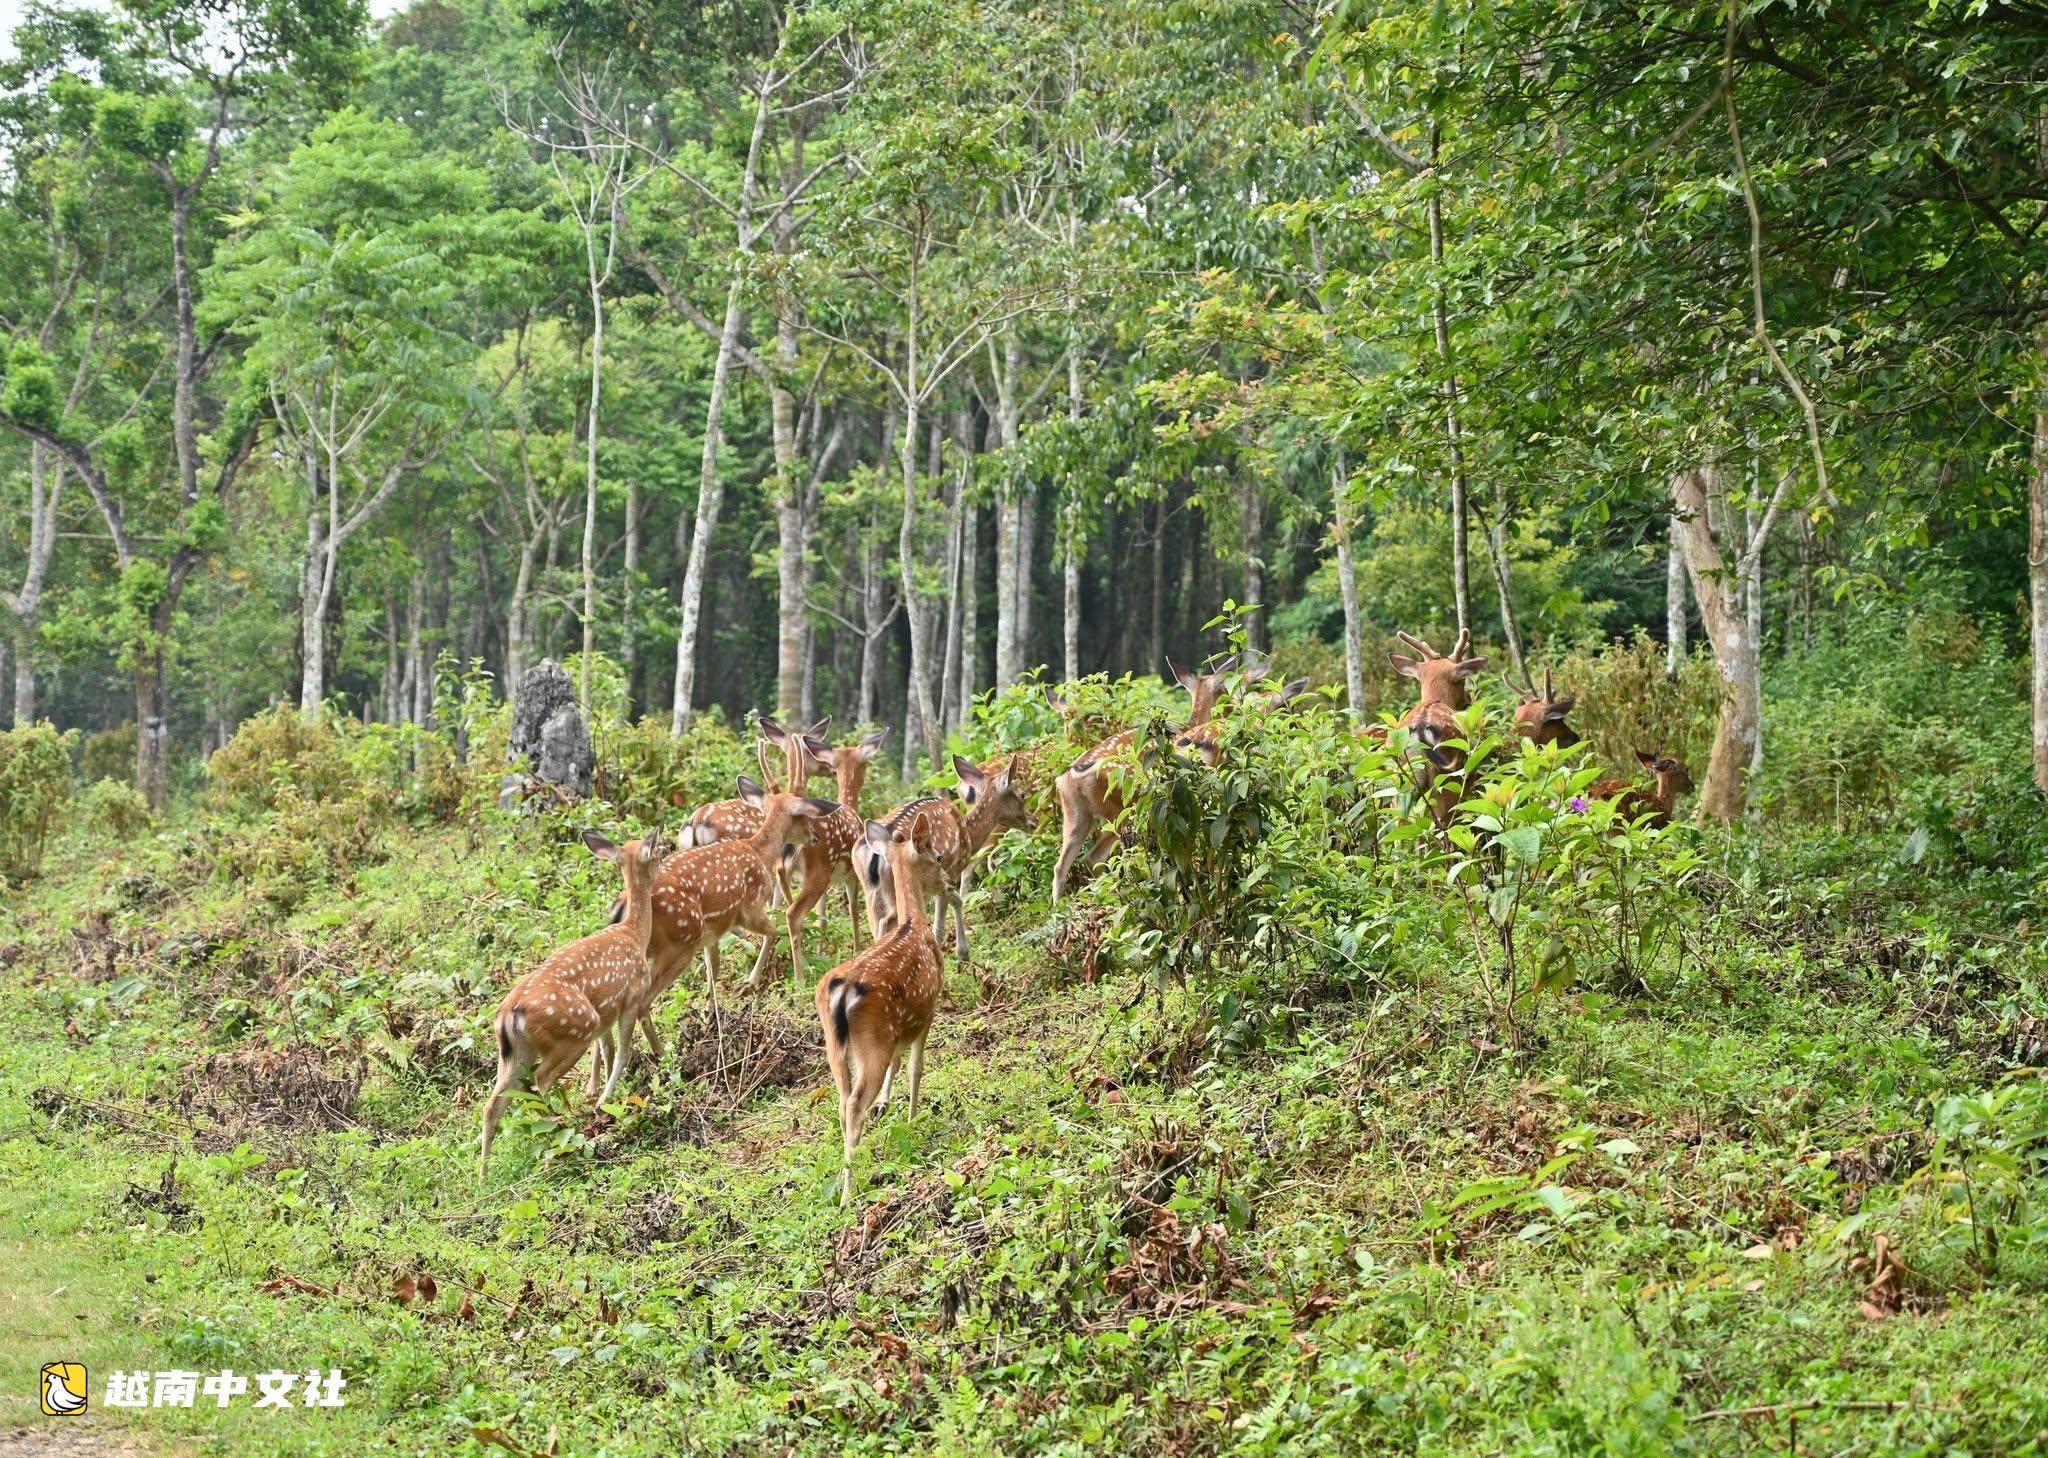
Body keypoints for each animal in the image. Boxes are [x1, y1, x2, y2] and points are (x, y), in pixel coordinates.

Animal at [481, 828, 665, 1170]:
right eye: (658, 854)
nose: (665, 862)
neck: (634, 934)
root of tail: (510, 1014)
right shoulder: (631, 997)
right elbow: (622, 1053)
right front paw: (606, 1100)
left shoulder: (606, 1010)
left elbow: (606, 1051)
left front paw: (597, 1096)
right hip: (572, 1032)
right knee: (537, 1083)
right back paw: (556, 1128)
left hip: (515, 1052)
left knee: (494, 1103)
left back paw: (484, 1173)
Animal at [771, 726, 891, 991]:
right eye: (866, 762)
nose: (831, 770)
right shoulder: (852, 874)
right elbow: (854, 910)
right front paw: (857, 949)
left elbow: (822, 919)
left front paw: (821, 951)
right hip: (819, 871)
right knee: (792, 913)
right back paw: (800, 977)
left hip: (786, 871)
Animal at [817, 817, 944, 1207]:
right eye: (939, 856)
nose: (947, 882)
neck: (914, 922)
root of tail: (842, 991)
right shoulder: (928, 1009)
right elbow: (916, 1067)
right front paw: (913, 1118)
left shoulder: (901, 1027)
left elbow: (899, 1063)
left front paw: (886, 1106)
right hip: (873, 1036)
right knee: (854, 1103)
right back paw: (848, 1193)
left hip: (835, 1045)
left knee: (842, 1102)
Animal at [858, 754, 1031, 959]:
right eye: (1022, 794)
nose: (1034, 820)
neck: (968, 834)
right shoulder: (949, 871)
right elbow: (940, 925)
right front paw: (961, 953)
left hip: (870, 896)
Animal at [1051, 654, 1260, 904]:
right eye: (1227, 689)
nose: (1242, 707)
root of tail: (1074, 774)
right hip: (1123, 808)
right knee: (1099, 857)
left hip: (1075, 812)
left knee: (1062, 865)